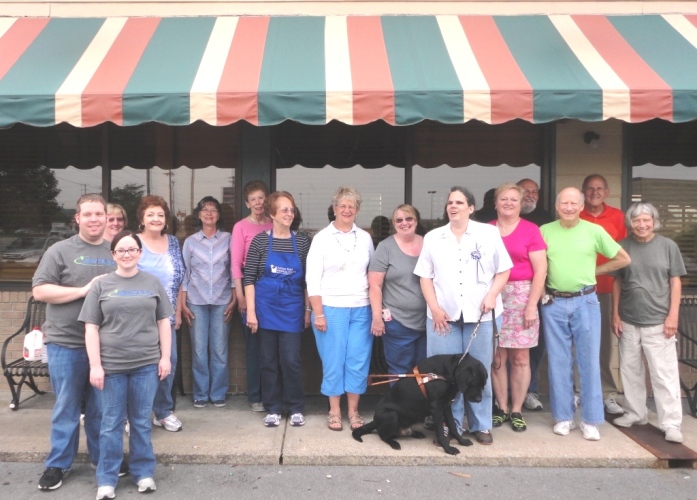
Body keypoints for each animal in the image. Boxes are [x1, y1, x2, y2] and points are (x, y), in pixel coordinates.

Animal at [350, 354, 486, 456]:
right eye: (474, 383)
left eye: (483, 384)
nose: (480, 400)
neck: (446, 373)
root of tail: (375, 420)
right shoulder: (436, 408)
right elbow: (440, 432)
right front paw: (448, 449)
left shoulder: (446, 406)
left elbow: (453, 426)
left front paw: (462, 441)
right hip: (391, 414)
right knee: (382, 435)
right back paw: (394, 443)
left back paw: (415, 433)